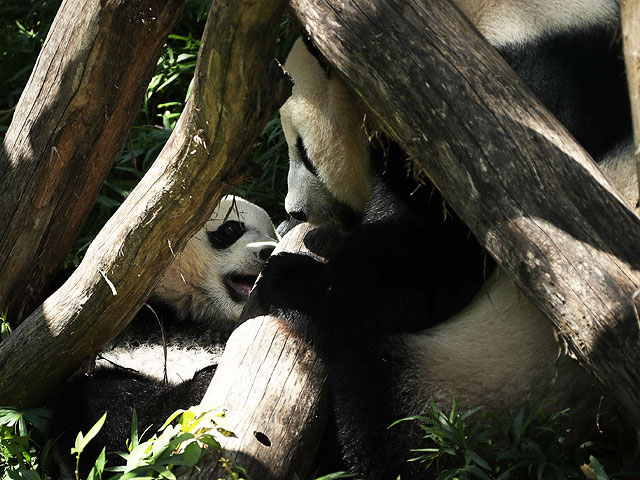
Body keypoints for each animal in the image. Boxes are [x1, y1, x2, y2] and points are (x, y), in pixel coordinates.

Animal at [255, 0, 636, 476]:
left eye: (304, 151)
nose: (295, 211)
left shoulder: (499, 117)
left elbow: (432, 259)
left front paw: (286, 279)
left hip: (478, 380)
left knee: (380, 409)